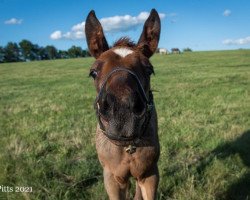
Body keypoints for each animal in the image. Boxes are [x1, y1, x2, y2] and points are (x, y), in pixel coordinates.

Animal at [85, 8, 161, 199]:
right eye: (93, 72)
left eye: (149, 70)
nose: (122, 113)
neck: (127, 146)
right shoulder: (112, 178)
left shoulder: (150, 174)